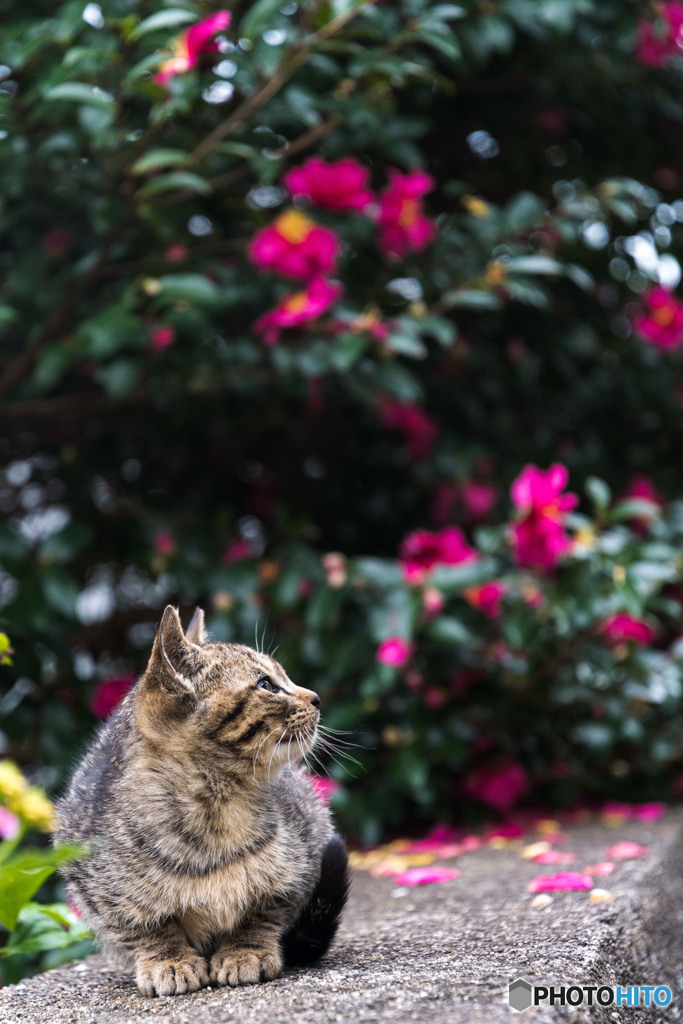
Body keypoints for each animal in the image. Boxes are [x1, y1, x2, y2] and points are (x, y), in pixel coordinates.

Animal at [56, 602, 350, 995]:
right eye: (266, 685)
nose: (316, 698)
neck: (217, 807)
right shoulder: (96, 885)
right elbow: (146, 927)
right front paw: (169, 959)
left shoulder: (300, 860)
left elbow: (263, 912)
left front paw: (246, 950)